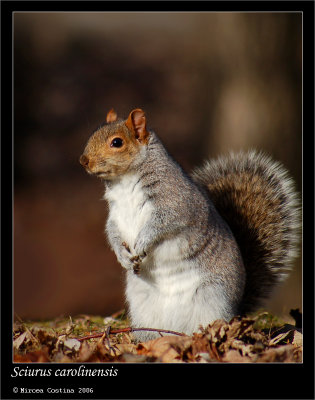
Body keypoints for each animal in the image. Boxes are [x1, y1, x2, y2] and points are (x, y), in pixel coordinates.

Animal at [79, 108, 302, 342]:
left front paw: (141, 244)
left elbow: (162, 224)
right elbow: (112, 232)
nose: (84, 160)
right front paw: (122, 256)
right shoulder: (115, 215)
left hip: (211, 298)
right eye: (94, 132)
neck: (124, 182)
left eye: (117, 142)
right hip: (143, 306)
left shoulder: (175, 203)